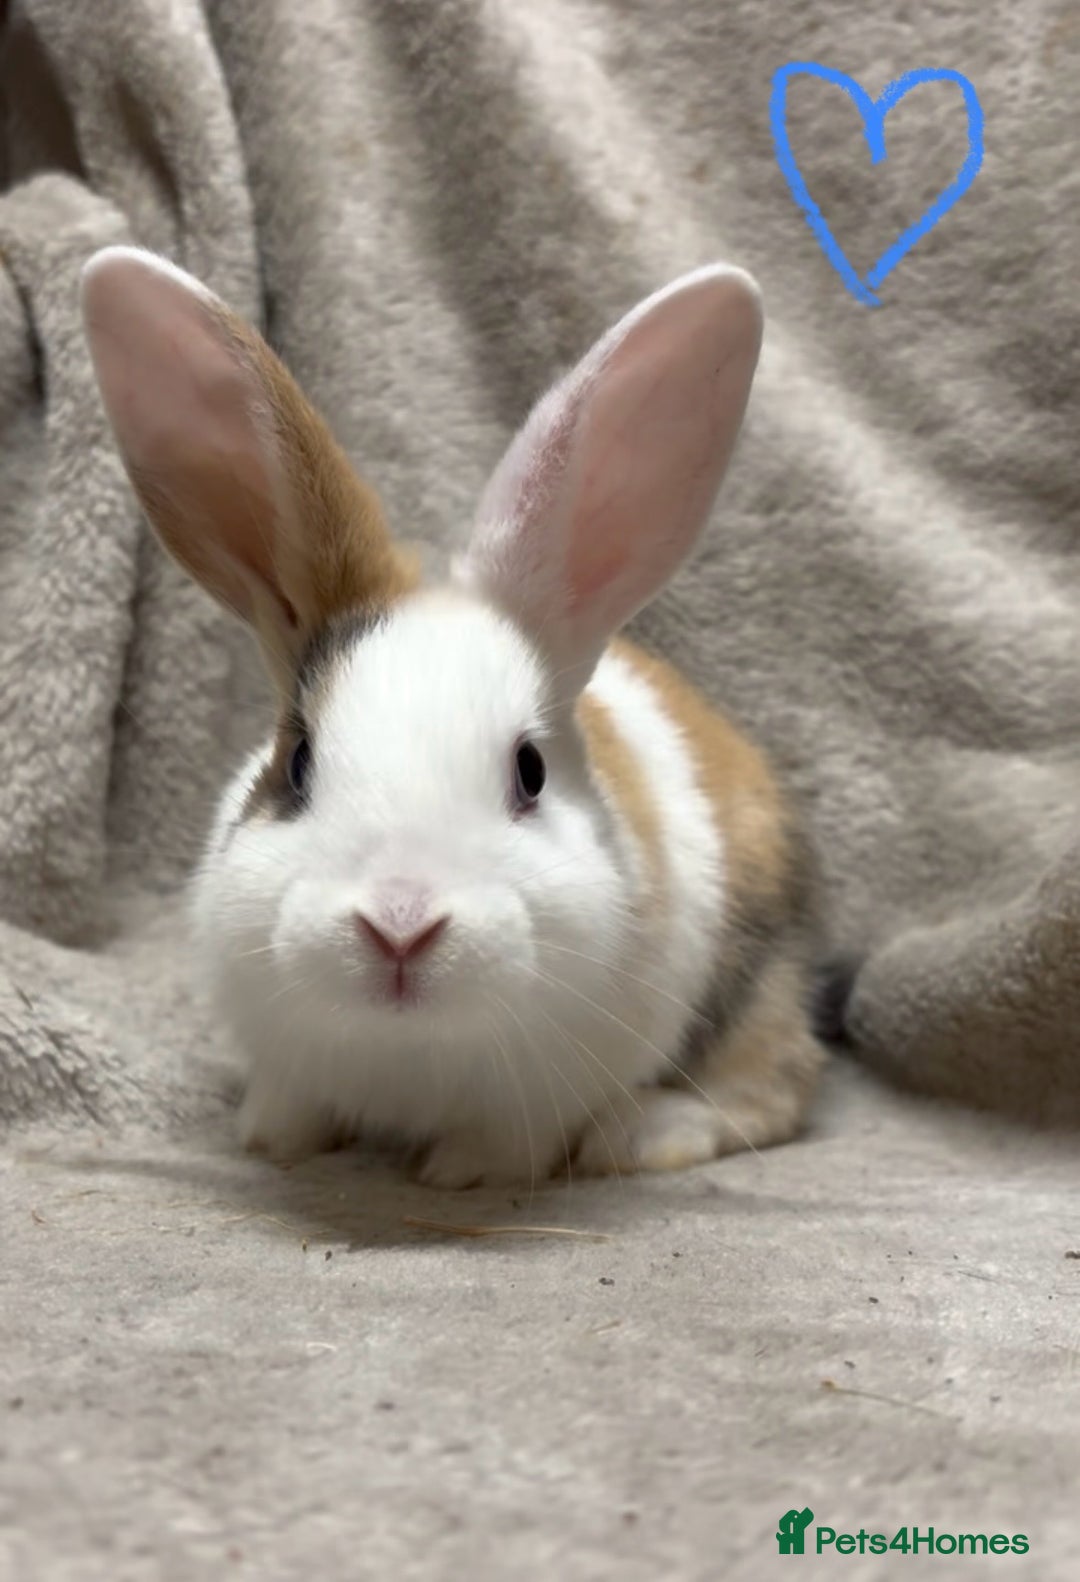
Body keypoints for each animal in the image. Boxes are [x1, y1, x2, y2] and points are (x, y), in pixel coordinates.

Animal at [80, 246, 826, 1188]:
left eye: (530, 772)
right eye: (299, 762)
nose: (399, 926)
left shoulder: (542, 1095)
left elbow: (511, 1142)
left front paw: (461, 1171)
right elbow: (293, 1103)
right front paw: (272, 1139)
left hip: (752, 983)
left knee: (780, 1078)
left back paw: (648, 1134)